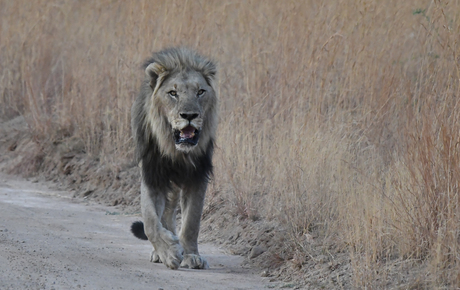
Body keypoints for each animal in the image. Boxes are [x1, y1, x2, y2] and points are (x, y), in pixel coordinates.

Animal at [128, 47, 217, 270]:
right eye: (173, 93)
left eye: (200, 92)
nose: (189, 115)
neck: (177, 152)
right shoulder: (152, 174)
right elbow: (150, 221)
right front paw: (168, 252)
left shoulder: (197, 175)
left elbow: (192, 222)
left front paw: (191, 255)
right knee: (164, 215)